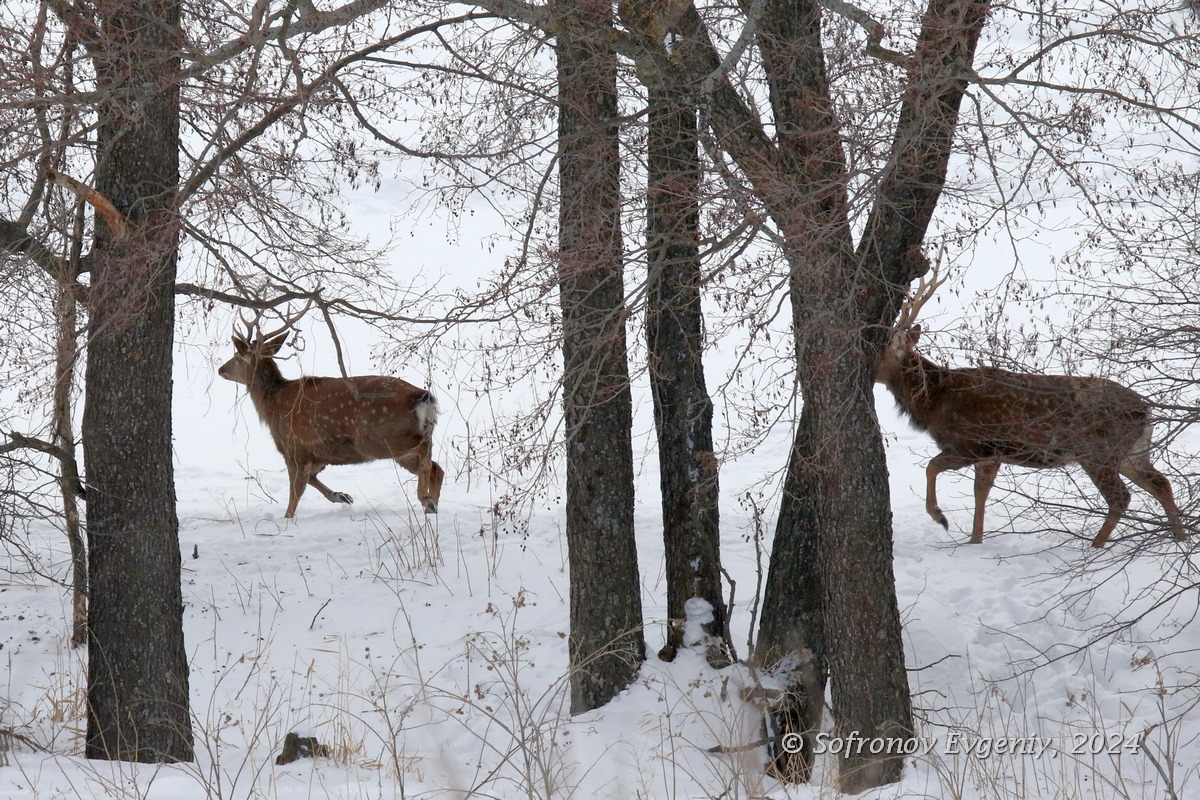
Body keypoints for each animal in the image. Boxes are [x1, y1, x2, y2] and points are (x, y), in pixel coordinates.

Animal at [218, 304, 444, 520]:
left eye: (236, 357)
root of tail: (423, 398)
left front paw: (287, 518)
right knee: (437, 467)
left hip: (379, 438)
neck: (273, 406)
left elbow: (295, 494)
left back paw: (425, 498)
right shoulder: (317, 453)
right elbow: (311, 479)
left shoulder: (294, 447)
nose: (221, 369)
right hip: (401, 445)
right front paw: (341, 495)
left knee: (426, 458)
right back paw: (431, 504)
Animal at [878, 253, 1185, 546]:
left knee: (1121, 497)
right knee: (1161, 483)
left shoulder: (971, 443)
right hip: (1133, 451)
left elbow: (932, 467)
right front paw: (975, 541)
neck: (935, 402)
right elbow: (980, 494)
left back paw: (1096, 546)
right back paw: (1181, 537)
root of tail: (1146, 410)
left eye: (879, 347)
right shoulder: (991, 454)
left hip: (1098, 450)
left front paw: (940, 517)